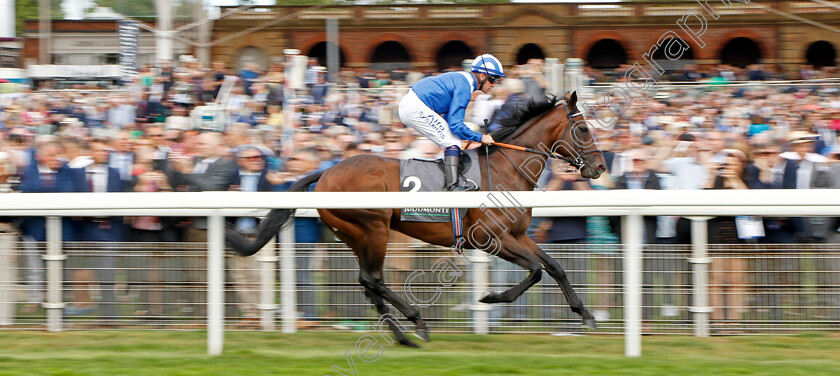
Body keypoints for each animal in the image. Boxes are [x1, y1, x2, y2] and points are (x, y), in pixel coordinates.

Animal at [226, 90, 608, 346]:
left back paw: (402, 335)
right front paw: (489, 298)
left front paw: (587, 316)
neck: (506, 169)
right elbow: (534, 270)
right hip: (373, 229)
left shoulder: (518, 235)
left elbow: (554, 267)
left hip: (355, 235)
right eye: (584, 130)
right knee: (373, 279)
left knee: (368, 283)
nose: (601, 167)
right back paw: (416, 322)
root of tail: (326, 171)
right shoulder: (491, 238)